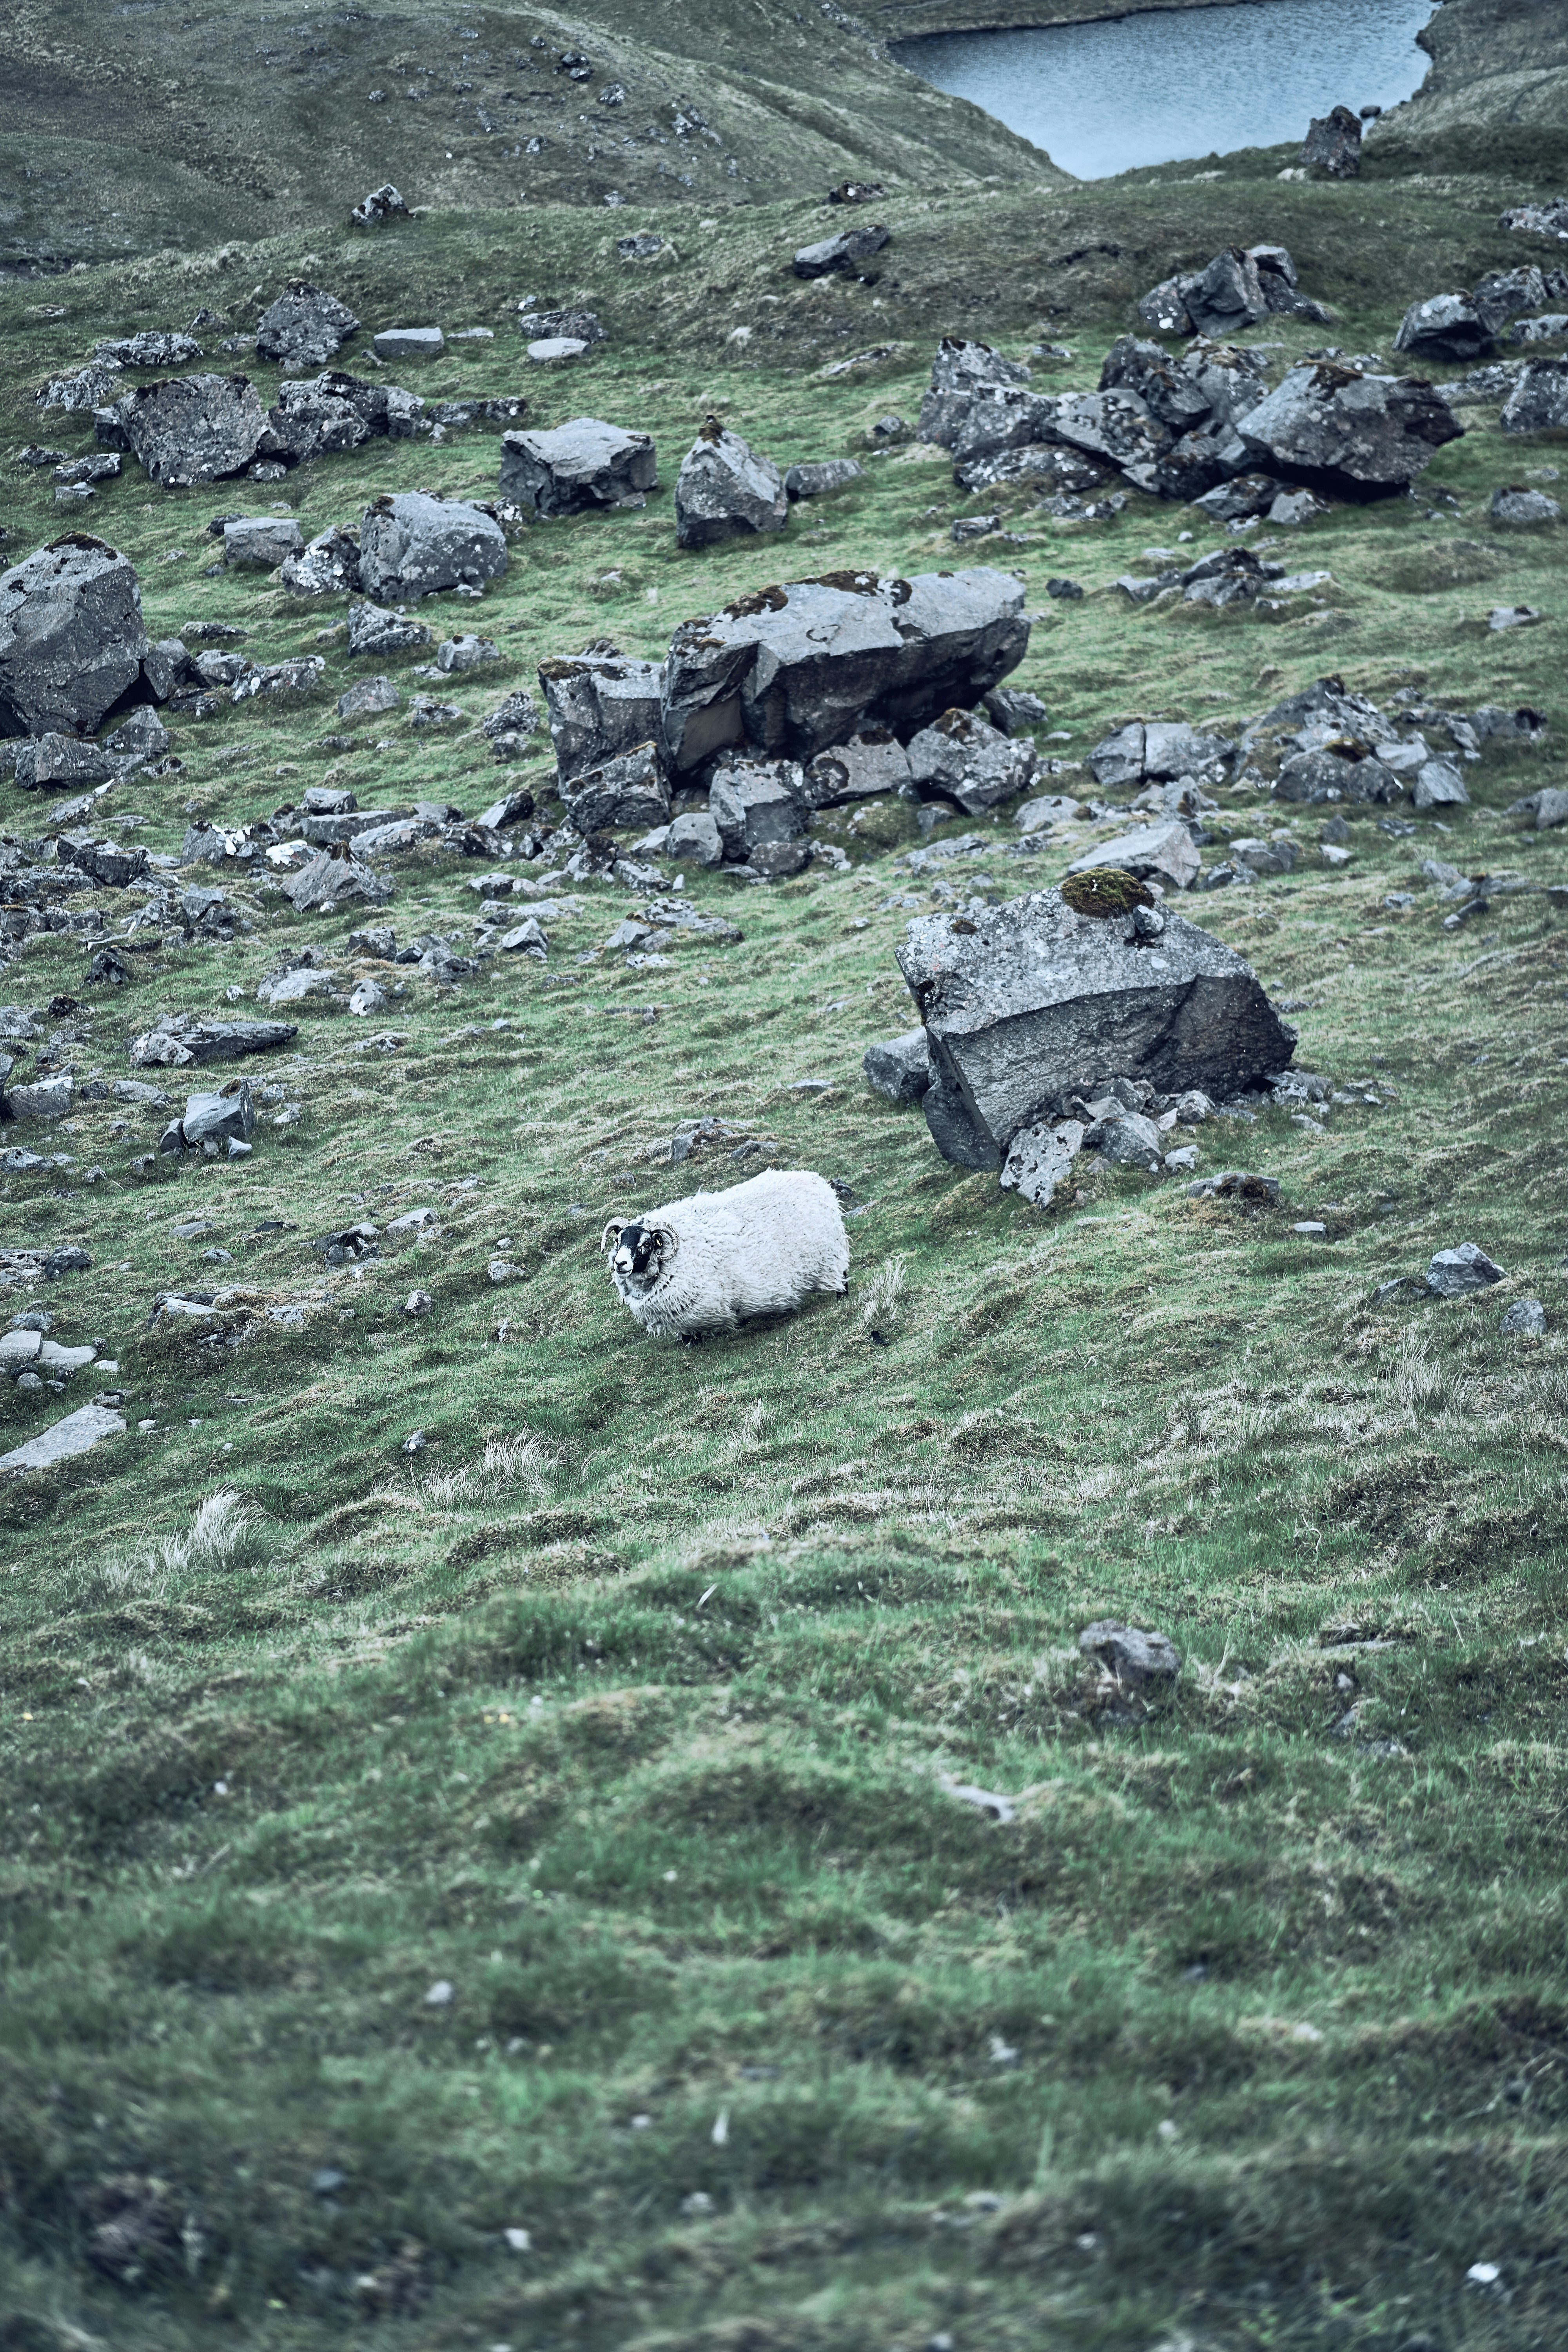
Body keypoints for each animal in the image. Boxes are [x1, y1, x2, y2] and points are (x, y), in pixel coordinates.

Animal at [601, 1168, 849, 1339]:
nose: (620, 1264)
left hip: (831, 1254)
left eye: (646, 1244)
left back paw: (842, 1298)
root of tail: (817, 1181)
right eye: (618, 1241)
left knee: (843, 1276)